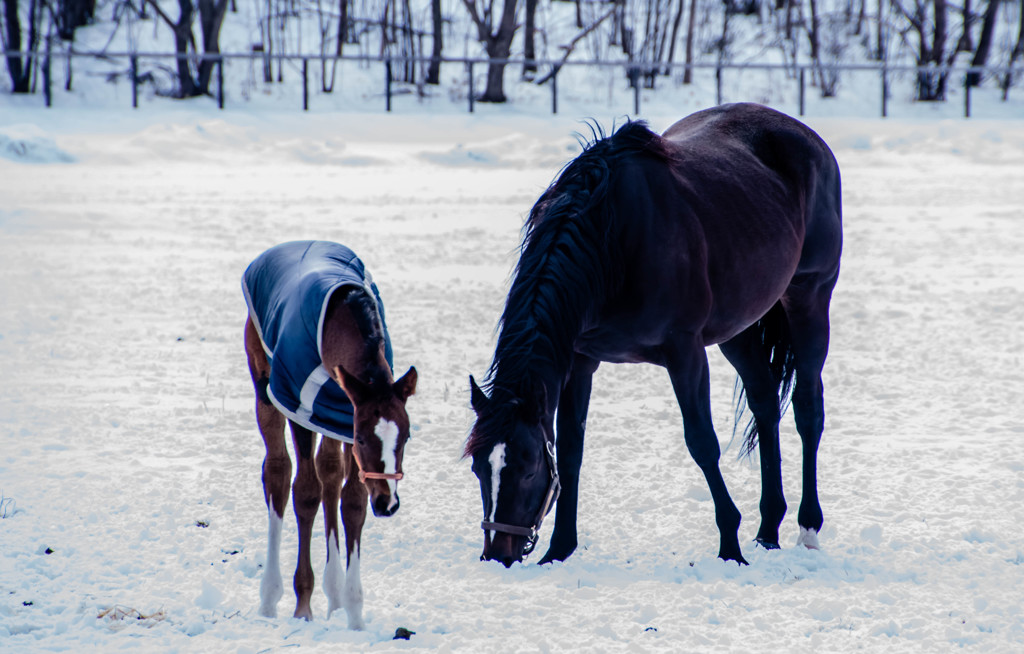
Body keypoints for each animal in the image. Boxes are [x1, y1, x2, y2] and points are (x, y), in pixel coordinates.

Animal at [240, 241, 415, 630]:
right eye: (364, 439)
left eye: (407, 436)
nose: (389, 503)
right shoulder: (300, 408)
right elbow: (305, 492)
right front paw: (302, 606)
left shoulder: (343, 416)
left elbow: (352, 501)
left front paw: (354, 612)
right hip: (266, 388)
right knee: (279, 472)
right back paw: (270, 599)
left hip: (328, 420)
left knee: (330, 474)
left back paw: (333, 598)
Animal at [468, 103, 843, 569]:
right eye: (478, 467)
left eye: (529, 466)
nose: (497, 553)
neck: (612, 242)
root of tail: (806, 136)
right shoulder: (580, 359)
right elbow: (572, 450)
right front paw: (559, 548)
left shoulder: (684, 353)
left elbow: (702, 443)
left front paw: (730, 547)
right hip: (736, 329)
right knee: (764, 403)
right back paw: (767, 530)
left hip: (809, 296)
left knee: (808, 409)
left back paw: (807, 529)